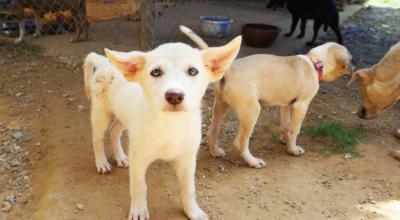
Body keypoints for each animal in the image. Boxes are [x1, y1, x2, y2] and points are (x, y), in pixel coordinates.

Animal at [83, 36, 242, 220]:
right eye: (156, 72)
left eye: (192, 71)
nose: (174, 96)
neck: (170, 125)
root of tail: (104, 62)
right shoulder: (138, 157)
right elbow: (139, 186)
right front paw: (138, 210)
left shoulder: (187, 159)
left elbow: (188, 189)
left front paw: (192, 211)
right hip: (100, 113)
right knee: (97, 139)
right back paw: (102, 163)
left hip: (123, 115)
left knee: (114, 131)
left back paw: (121, 157)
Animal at [181, 24, 354, 168]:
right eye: (351, 59)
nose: (354, 68)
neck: (314, 62)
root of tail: (229, 69)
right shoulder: (301, 106)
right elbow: (295, 130)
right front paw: (293, 149)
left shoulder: (287, 105)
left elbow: (286, 125)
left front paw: (285, 141)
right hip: (251, 111)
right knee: (240, 143)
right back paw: (253, 162)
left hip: (221, 106)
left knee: (212, 132)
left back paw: (216, 152)